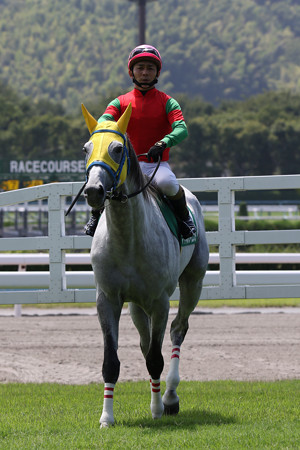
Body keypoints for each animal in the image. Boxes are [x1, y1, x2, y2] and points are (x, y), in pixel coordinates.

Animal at [81, 103, 210, 428]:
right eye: (86, 148)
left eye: (116, 149)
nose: (93, 191)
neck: (128, 239)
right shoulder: (108, 299)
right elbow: (112, 361)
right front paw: (106, 417)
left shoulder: (160, 300)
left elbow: (156, 357)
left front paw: (157, 409)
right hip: (136, 305)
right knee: (145, 341)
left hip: (193, 283)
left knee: (178, 330)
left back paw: (170, 397)